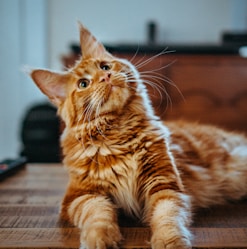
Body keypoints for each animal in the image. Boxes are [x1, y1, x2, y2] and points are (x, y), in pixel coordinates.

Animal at [29, 22, 247, 248]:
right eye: (83, 84)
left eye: (105, 67)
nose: (106, 77)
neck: (119, 134)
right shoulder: (80, 195)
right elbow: (98, 214)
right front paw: (99, 239)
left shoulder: (164, 184)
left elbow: (167, 217)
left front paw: (169, 241)